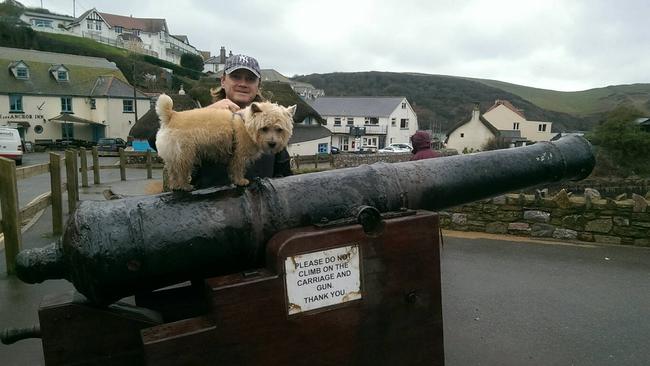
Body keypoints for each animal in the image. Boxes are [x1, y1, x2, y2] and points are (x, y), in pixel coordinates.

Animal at [154, 94, 294, 190]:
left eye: (279, 129)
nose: (272, 144)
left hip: (173, 156)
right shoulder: (239, 155)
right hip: (185, 154)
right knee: (181, 171)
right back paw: (185, 186)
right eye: (264, 128)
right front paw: (240, 181)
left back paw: (175, 185)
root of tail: (172, 115)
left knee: (172, 171)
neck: (246, 125)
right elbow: (238, 169)